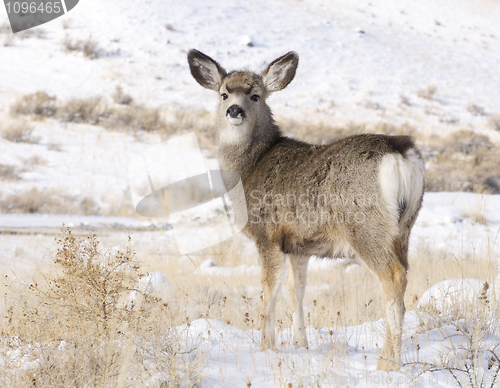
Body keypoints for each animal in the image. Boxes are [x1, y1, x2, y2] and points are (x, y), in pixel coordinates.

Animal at [188, 48, 426, 370]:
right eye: (224, 93)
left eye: (255, 95)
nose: (234, 110)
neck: (249, 168)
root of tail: (400, 153)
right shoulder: (298, 245)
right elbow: (296, 290)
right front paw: (301, 344)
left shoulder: (268, 234)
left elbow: (269, 288)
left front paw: (266, 346)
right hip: (405, 226)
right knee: (402, 277)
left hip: (366, 226)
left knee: (393, 277)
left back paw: (387, 362)